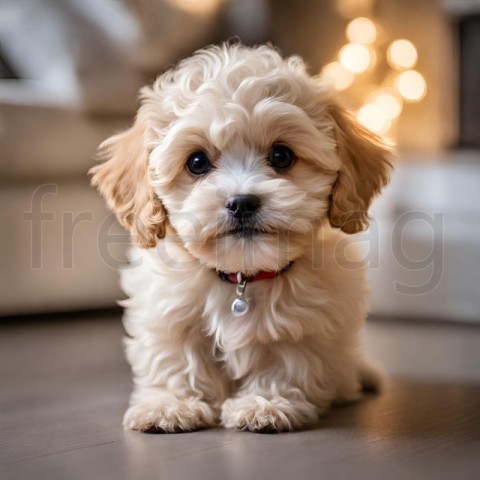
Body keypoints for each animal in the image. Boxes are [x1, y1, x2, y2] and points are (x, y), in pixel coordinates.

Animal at [91, 43, 394, 434]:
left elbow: (287, 360)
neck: (242, 276)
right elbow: (176, 359)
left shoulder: (306, 322)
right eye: (197, 162)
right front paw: (171, 405)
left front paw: (266, 403)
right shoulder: (169, 313)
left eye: (281, 155)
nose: (242, 202)